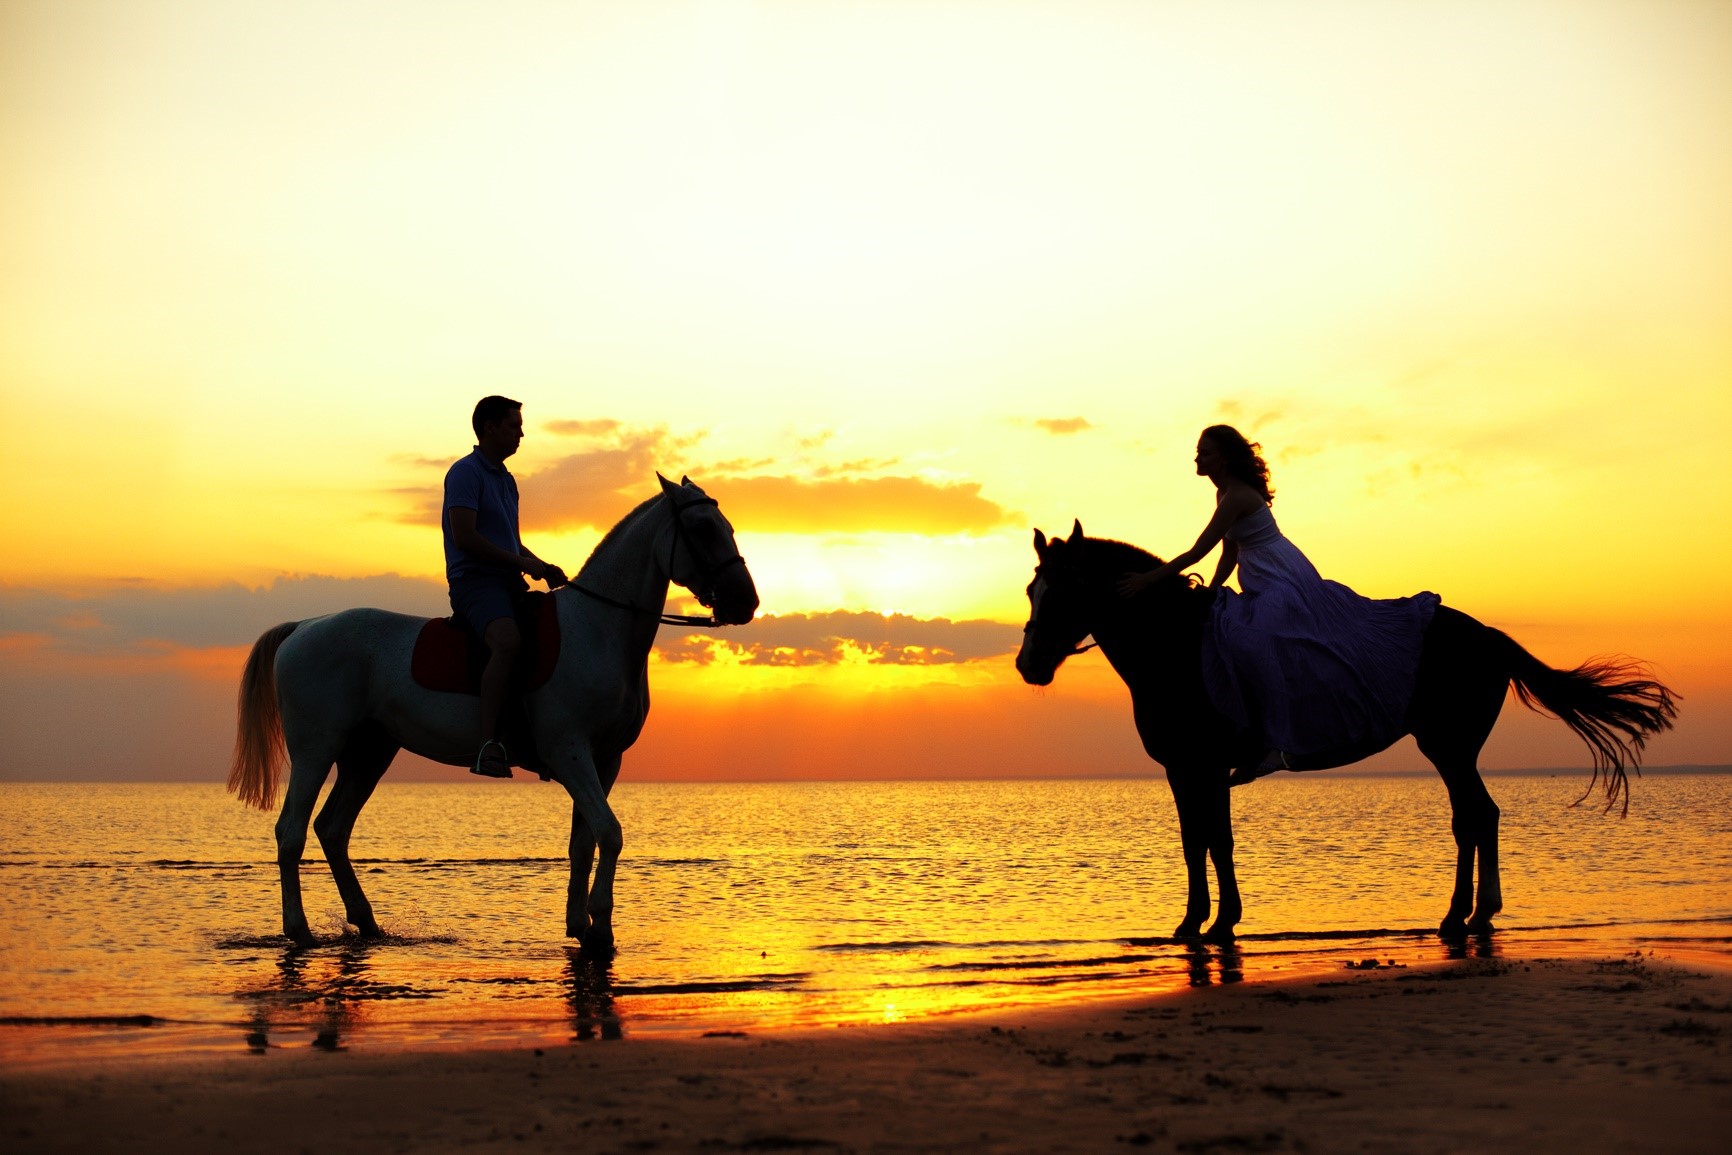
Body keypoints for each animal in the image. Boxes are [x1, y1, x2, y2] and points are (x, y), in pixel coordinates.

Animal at [226, 474, 755, 955]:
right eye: (704, 528)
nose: (745, 602)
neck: (599, 629)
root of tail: (304, 627)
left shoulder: (605, 760)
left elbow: (585, 841)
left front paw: (580, 926)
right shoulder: (569, 752)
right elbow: (610, 832)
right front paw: (601, 930)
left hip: (368, 754)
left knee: (333, 829)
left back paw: (368, 924)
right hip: (317, 749)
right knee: (291, 831)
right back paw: (299, 931)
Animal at [1011, 522, 1676, 942]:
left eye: (1063, 589)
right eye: (1030, 589)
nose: (1029, 665)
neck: (1176, 645)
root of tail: (1487, 635)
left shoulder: (1200, 766)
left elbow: (1212, 842)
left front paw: (1212, 922)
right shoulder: (1186, 770)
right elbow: (1196, 841)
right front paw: (1200, 921)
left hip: (1450, 746)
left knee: (1477, 817)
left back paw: (1469, 915)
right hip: (1450, 748)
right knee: (1473, 818)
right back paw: (1467, 916)